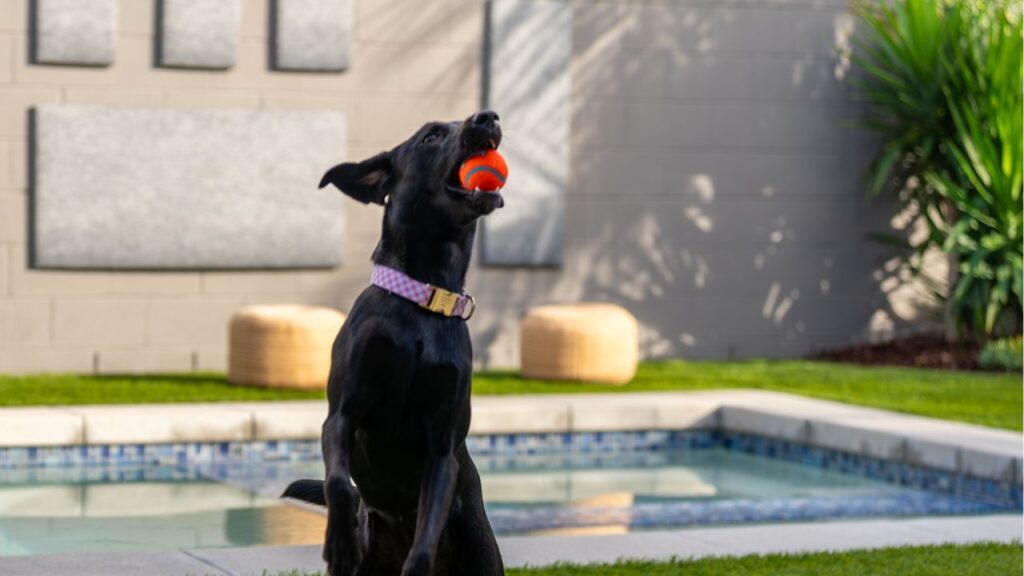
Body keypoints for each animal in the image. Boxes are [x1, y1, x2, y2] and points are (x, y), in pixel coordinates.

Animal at [282, 109, 505, 569]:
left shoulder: (442, 450)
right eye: (431, 136)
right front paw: (339, 541)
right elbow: (339, 484)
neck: (425, 300)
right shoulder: (342, 414)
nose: (488, 118)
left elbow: (425, 539)